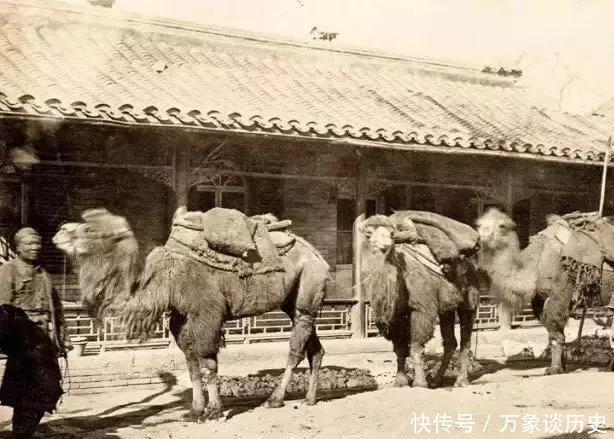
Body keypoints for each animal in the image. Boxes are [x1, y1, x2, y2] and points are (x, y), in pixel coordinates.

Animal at [53, 208, 332, 424]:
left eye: (89, 230)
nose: (60, 230)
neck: (166, 279)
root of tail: (319, 256)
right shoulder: (181, 319)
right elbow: (191, 364)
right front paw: (194, 411)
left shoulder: (206, 314)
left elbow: (208, 363)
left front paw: (214, 412)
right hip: (291, 301)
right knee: (314, 347)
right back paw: (310, 399)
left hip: (308, 284)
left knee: (296, 346)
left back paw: (274, 399)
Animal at [360, 213, 482, 388]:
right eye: (368, 233)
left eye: (392, 233)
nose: (385, 244)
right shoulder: (397, 318)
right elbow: (400, 349)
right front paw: (400, 381)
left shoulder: (422, 310)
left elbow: (416, 347)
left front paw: (419, 383)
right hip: (446, 309)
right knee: (450, 342)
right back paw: (436, 381)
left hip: (469, 303)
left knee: (466, 341)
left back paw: (461, 381)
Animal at [478, 210, 614, 374]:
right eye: (479, 224)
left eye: (501, 225)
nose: (479, 236)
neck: (538, 262)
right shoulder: (540, 301)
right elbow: (552, 333)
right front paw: (562, 366)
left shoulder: (559, 297)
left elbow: (556, 336)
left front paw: (554, 369)